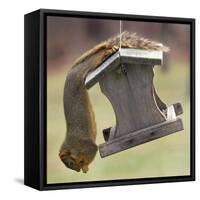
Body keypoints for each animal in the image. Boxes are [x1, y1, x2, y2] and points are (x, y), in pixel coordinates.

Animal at [58, 31, 168, 173]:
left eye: (70, 163)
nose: (77, 171)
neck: (73, 146)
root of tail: (71, 72)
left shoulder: (86, 146)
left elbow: (93, 151)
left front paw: (85, 166)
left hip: (90, 65)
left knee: (99, 55)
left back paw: (110, 51)